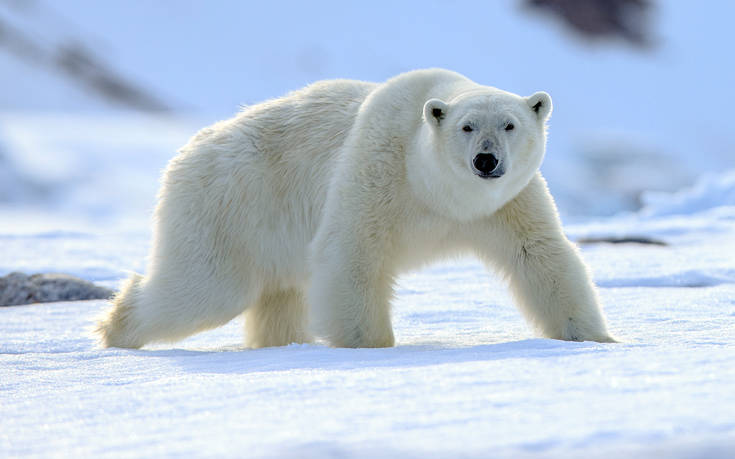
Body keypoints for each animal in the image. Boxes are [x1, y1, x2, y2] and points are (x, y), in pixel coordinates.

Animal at [98, 68, 616, 348]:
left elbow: (540, 256)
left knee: (278, 296)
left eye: (510, 124)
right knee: (204, 288)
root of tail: (188, 151)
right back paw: (115, 329)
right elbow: (351, 253)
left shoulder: (507, 204)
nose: (486, 161)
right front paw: (370, 346)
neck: (438, 192)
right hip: (229, 205)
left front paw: (596, 338)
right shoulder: (378, 170)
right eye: (467, 127)